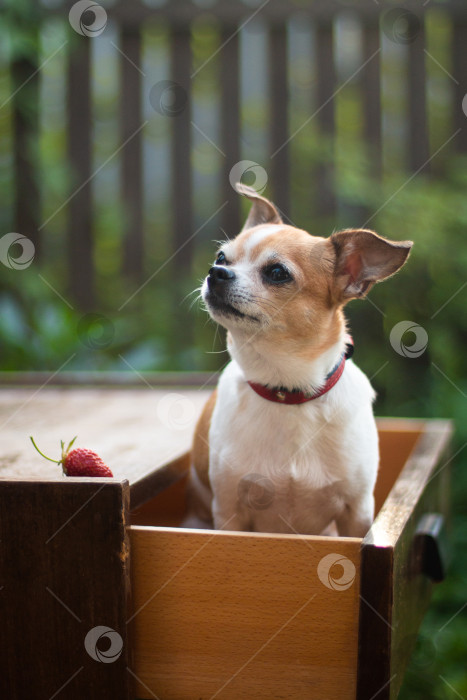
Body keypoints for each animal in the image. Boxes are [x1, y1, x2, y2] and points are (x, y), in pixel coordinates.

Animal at [187, 182, 414, 536]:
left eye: (277, 273)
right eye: (221, 257)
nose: (216, 272)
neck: (288, 391)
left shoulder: (357, 515)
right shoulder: (230, 515)